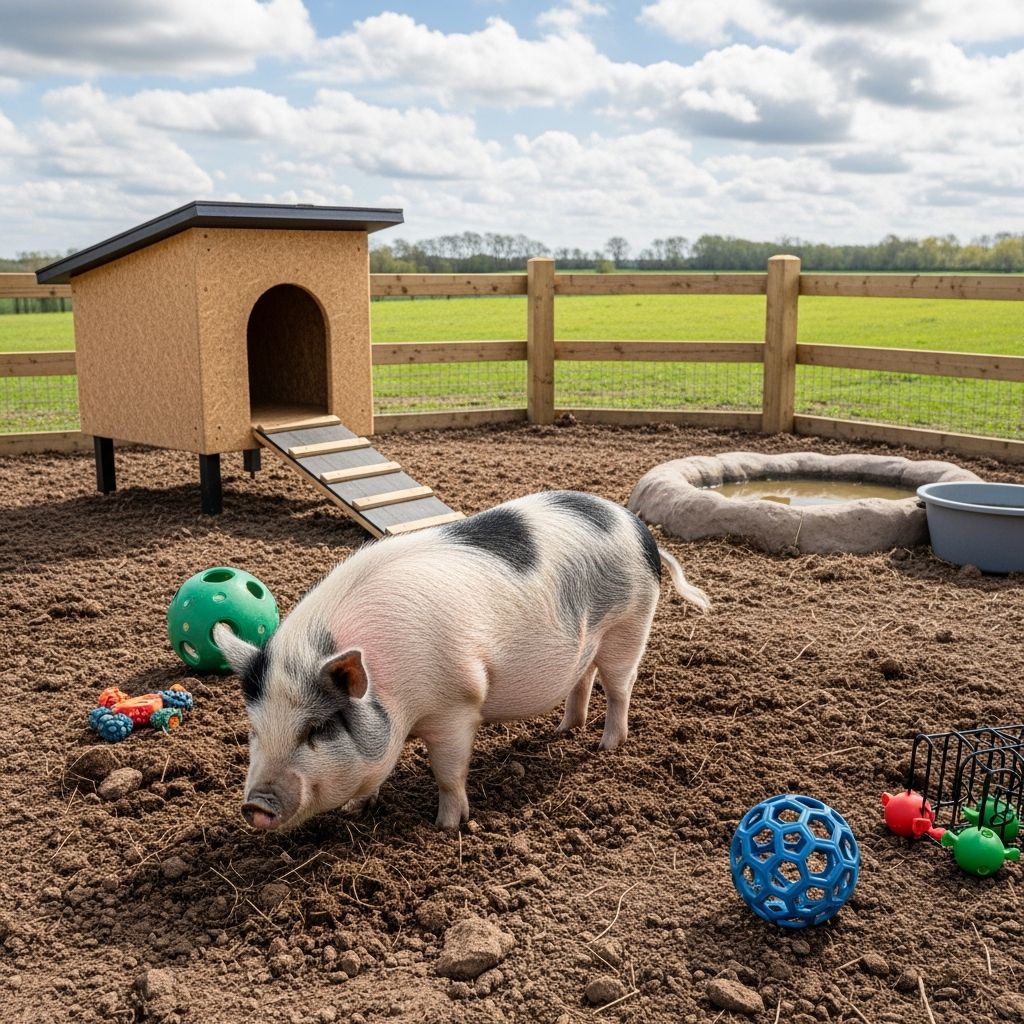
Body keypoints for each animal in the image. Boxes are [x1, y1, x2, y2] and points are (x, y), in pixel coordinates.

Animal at [214, 490, 709, 831]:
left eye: (316, 730)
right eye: (254, 731)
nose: (255, 804)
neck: (396, 696)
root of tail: (638, 528)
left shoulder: (457, 703)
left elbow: (449, 774)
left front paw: (446, 825)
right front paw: (358, 807)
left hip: (631, 623)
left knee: (620, 686)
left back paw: (606, 746)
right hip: (589, 638)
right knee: (582, 678)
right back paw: (564, 730)